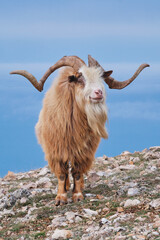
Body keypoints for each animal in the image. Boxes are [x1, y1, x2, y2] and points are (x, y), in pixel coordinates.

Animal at [10, 55, 149, 204]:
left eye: (101, 78)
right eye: (81, 79)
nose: (99, 92)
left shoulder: (83, 152)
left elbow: (77, 173)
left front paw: (77, 195)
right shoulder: (57, 150)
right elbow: (61, 174)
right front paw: (61, 198)